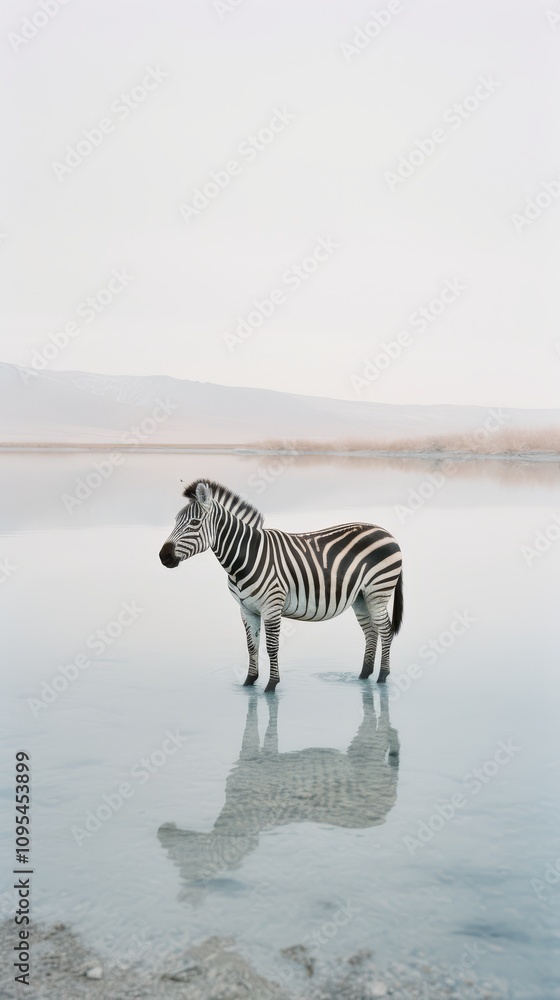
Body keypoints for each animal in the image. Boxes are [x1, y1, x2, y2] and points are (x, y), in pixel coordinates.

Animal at [159, 479, 403, 691]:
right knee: (371, 632)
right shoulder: (246, 609)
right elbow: (252, 645)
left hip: (378, 592)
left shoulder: (272, 606)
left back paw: (382, 676)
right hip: (361, 597)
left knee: (385, 630)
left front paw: (271, 686)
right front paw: (249, 682)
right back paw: (363, 675)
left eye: (194, 523)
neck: (246, 556)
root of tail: (387, 533)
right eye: (175, 520)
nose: (163, 556)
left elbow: (271, 646)